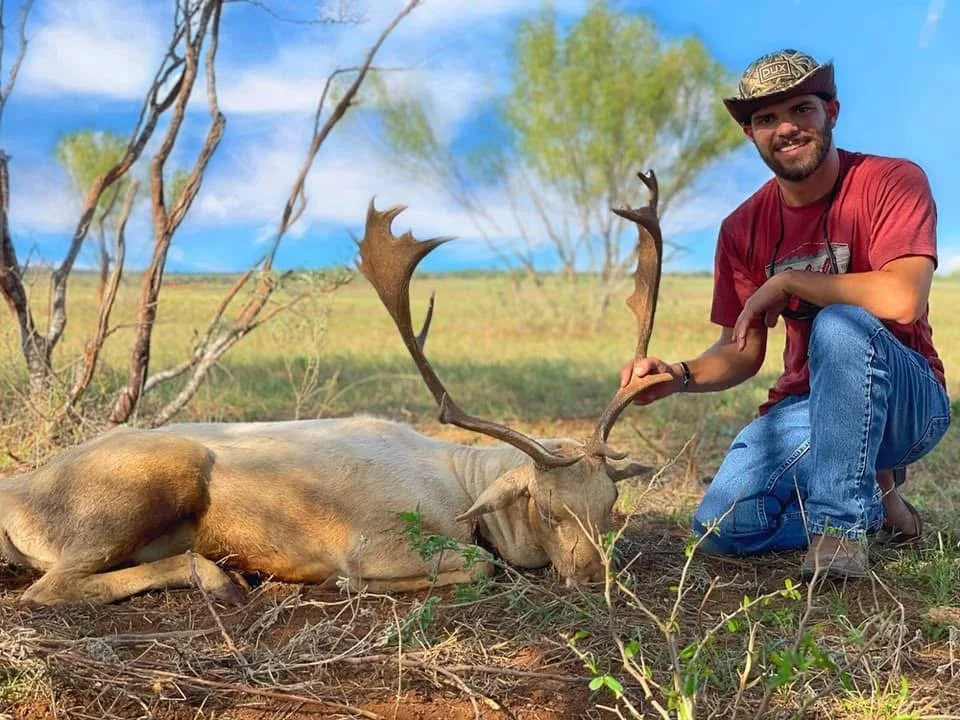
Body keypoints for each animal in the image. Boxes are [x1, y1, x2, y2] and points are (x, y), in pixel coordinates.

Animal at [0, 171, 671, 606]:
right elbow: (480, 567)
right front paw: (346, 582)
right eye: (549, 510)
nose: (593, 578)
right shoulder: (377, 539)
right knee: (46, 591)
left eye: (610, 505)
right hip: (148, 479)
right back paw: (220, 579)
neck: (464, 486)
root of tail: (16, 495)